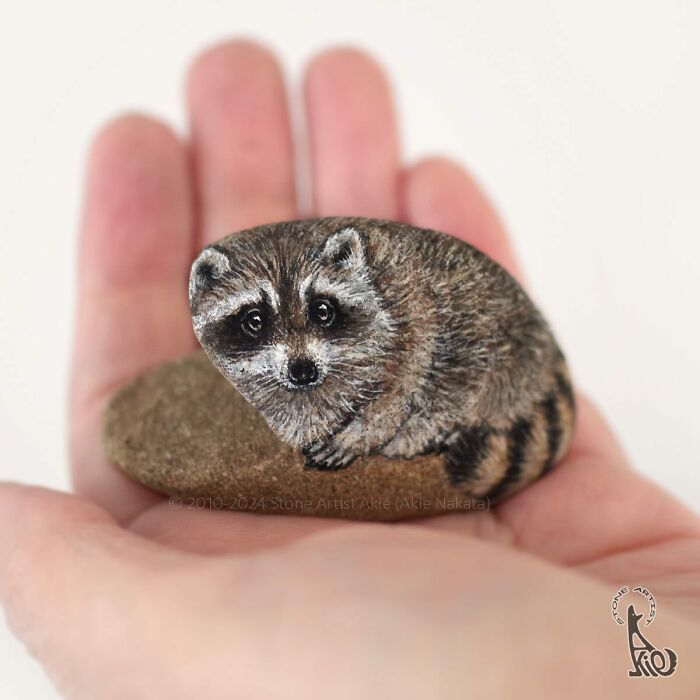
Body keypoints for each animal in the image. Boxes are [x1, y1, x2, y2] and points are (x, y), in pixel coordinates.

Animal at [189, 217, 574, 498]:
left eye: (323, 310)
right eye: (254, 320)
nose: (302, 370)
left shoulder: (412, 316)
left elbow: (399, 390)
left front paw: (356, 436)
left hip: (502, 350)